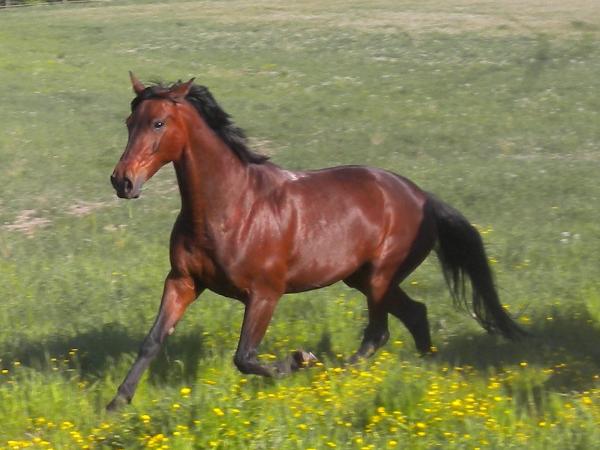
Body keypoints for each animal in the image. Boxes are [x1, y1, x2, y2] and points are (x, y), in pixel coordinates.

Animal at [107, 73, 524, 410]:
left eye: (159, 123)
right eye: (129, 122)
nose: (122, 181)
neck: (231, 209)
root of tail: (422, 196)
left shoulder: (265, 294)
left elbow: (245, 356)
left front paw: (299, 359)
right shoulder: (183, 282)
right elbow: (152, 340)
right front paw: (117, 402)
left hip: (380, 277)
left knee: (379, 332)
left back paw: (337, 371)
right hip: (362, 278)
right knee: (415, 314)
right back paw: (428, 368)